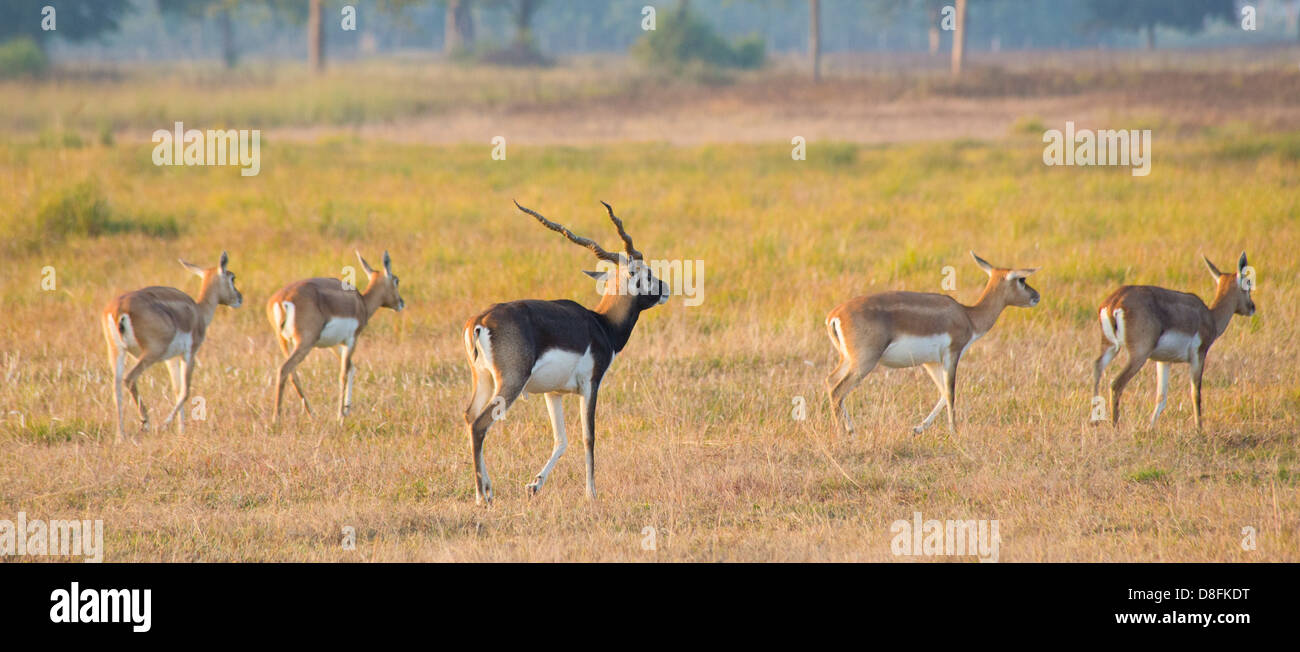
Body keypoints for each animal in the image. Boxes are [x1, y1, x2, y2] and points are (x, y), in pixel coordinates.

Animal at [100, 249, 241, 444]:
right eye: (232, 277)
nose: (240, 298)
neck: (198, 311)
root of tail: (119, 309)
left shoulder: (171, 358)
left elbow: (176, 389)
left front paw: (181, 430)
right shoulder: (189, 354)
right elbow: (185, 391)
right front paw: (166, 425)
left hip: (116, 352)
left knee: (116, 389)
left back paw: (121, 436)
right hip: (151, 353)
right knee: (129, 378)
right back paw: (146, 422)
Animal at [266, 249, 403, 423]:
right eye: (397, 280)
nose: (401, 303)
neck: (361, 303)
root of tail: (282, 300)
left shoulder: (334, 345)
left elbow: (351, 368)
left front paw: (346, 410)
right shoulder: (351, 340)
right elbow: (343, 373)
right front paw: (340, 416)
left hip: (284, 342)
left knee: (293, 374)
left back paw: (312, 414)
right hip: (304, 343)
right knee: (284, 369)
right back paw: (276, 419)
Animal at [462, 202, 670, 503]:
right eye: (648, 273)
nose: (666, 289)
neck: (602, 323)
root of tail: (480, 321)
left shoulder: (554, 392)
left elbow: (561, 439)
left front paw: (534, 485)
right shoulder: (591, 384)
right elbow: (588, 436)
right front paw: (591, 493)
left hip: (484, 380)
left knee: (469, 418)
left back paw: (488, 490)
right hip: (510, 383)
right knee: (480, 424)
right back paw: (482, 496)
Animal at [826, 251, 1040, 436]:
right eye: (1021, 279)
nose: (1036, 296)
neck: (968, 316)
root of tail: (835, 315)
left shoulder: (931, 362)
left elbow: (943, 393)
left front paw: (918, 429)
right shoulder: (952, 354)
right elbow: (951, 393)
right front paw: (954, 432)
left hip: (848, 359)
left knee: (830, 381)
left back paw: (851, 431)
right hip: (864, 362)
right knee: (838, 390)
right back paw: (841, 433)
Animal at [1092, 251, 1253, 431]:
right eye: (1248, 283)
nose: (1252, 307)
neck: (1210, 316)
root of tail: (1114, 302)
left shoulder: (1164, 361)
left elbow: (1161, 398)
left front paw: (1150, 428)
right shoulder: (1199, 355)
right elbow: (1196, 393)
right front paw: (1199, 430)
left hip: (1110, 347)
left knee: (1097, 367)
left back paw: (1095, 421)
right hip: (1138, 356)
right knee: (1115, 384)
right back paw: (1115, 427)